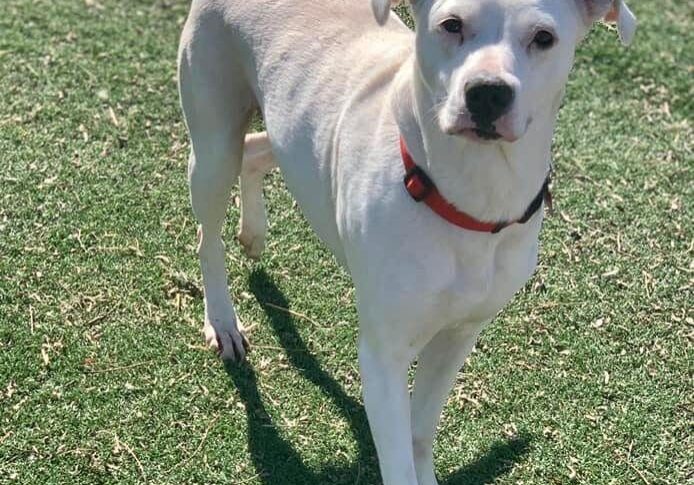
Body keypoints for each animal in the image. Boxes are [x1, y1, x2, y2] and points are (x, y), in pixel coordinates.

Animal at [178, 1, 636, 482]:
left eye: (544, 38)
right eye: (451, 24)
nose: (487, 93)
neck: (471, 196)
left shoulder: (458, 336)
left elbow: (419, 433)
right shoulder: (384, 355)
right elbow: (397, 456)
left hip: (288, 134)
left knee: (255, 150)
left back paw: (253, 234)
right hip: (213, 143)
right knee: (208, 233)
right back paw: (223, 321)